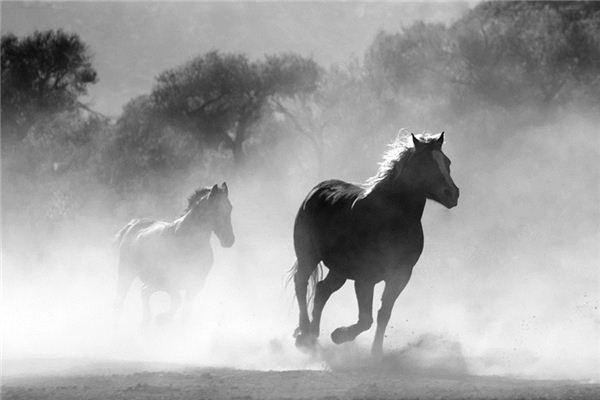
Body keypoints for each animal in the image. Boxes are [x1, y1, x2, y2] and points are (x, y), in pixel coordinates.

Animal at [115, 182, 234, 324]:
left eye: (230, 208)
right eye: (215, 209)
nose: (229, 240)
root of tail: (133, 224)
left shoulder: (195, 284)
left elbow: (185, 312)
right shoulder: (171, 282)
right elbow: (177, 302)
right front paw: (162, 318)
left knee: (144, 292)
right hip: (126, 274)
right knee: (122, 299)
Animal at [290, 133, 460, 354]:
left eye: (447, 162)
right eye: (424, 163)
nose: (452, 193)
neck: (390, 220)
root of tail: (317, 190)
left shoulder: (400, 276)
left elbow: (383, 314)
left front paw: (376, 352)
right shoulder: (365, 278)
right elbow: (365, 319)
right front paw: (339, 335)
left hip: (339, 270)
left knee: (321, 290)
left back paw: (313, 334)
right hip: (308, 256)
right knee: (301, 283)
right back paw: (304, 334)